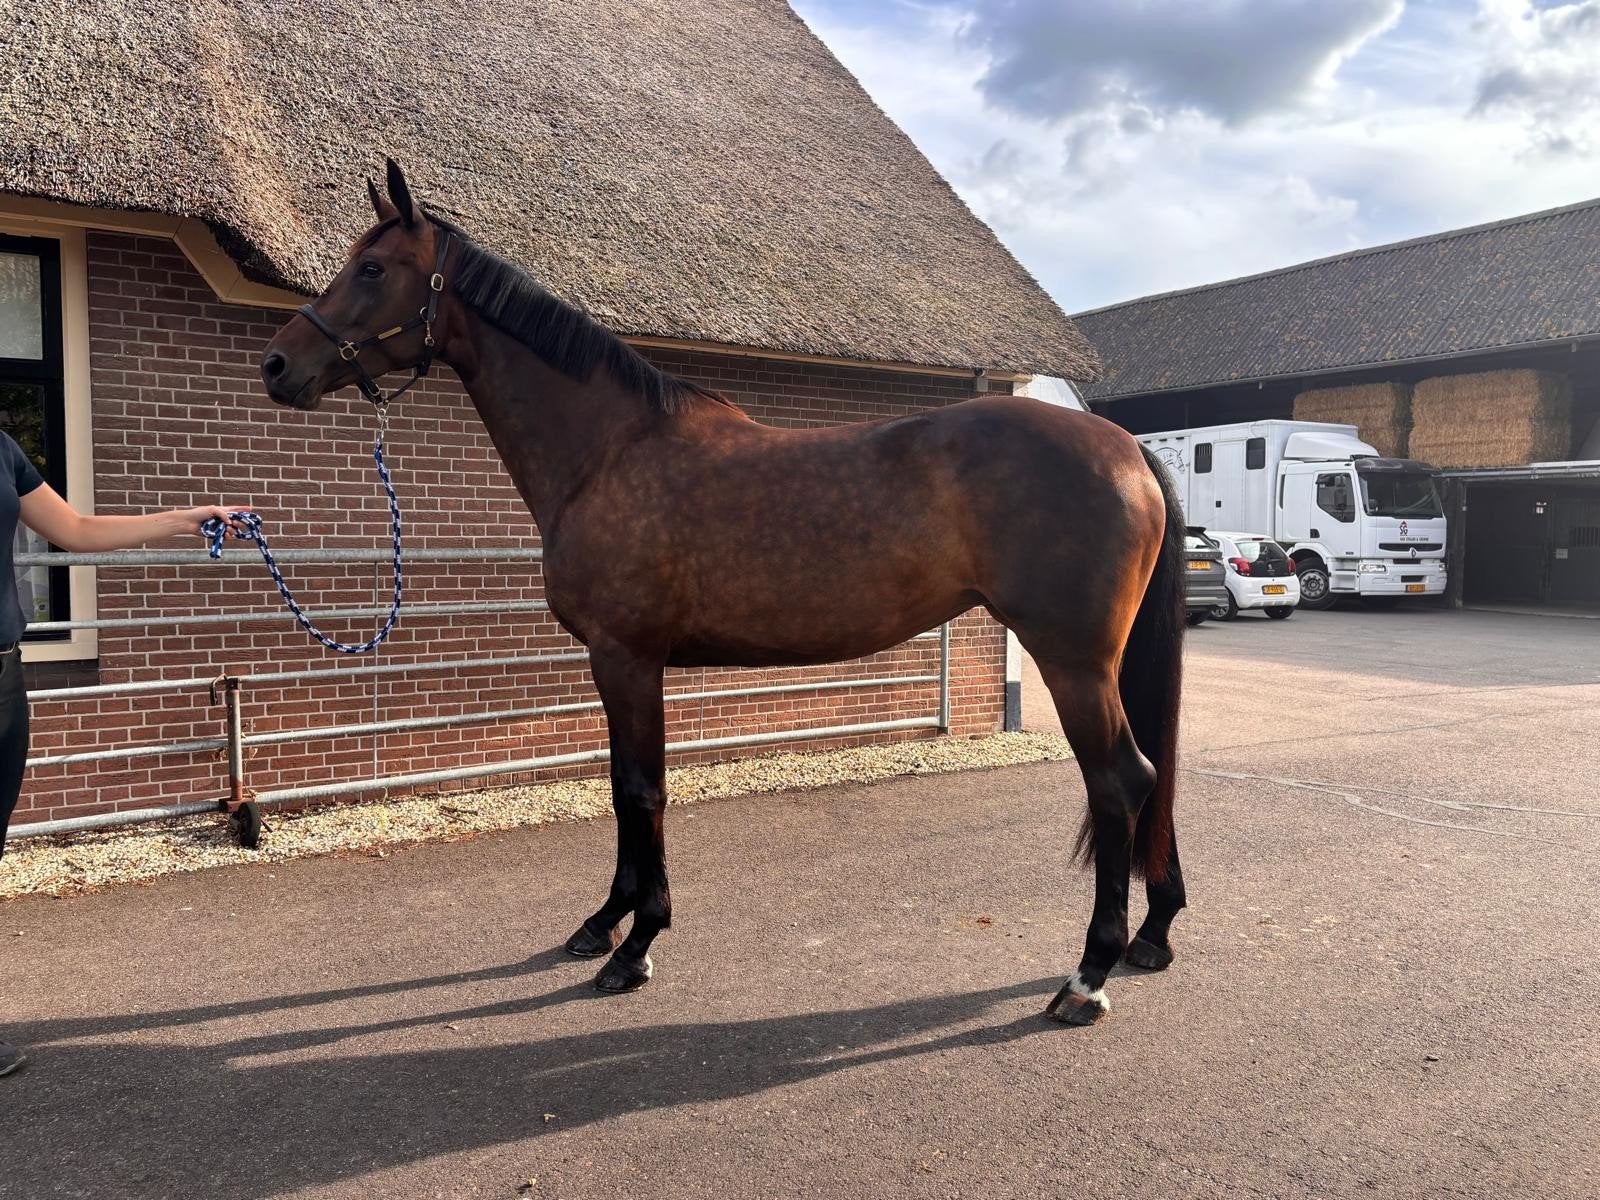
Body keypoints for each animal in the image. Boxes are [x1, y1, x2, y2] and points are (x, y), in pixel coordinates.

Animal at [258, 160, 1187, 1025]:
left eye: (372, 268)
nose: (277, 365)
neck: (610, 451)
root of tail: (1126, 450)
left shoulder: (628, 658)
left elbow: (642, 789)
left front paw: (636, 947)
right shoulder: (618, 665)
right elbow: (620, 784)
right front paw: (603, 921)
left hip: (1073, 662)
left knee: (1121, 781)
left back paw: (1088, 976)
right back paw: (1153, 935)